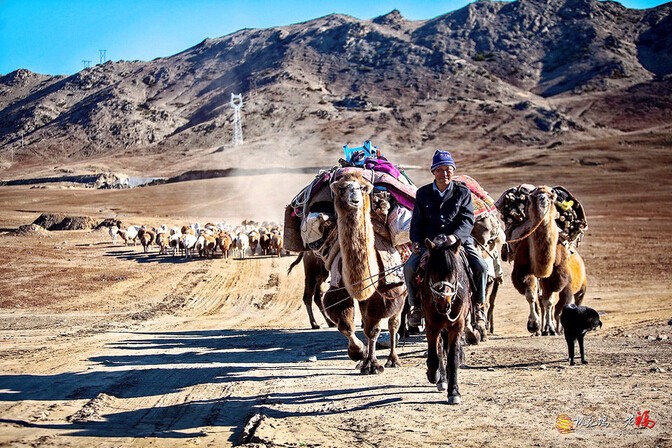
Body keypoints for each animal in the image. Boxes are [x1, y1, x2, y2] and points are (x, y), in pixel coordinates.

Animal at [320, 172, 404, 374]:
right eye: (342, 188)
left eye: (363, 187)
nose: (355, 199)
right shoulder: (339, 288)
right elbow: (346, 325)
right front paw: (359, 354)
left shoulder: (384, 294)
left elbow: (373, 329)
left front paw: (373, 365)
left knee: (393, 324)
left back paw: (393, 360)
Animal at [422, 236, 470, 404]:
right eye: (432, 271)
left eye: (454, 272)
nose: (444, 303)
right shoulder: (431, 326)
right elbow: (434, 357)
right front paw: (434, 375)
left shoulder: (457, 326)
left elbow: (453, 358)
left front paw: (454, 391)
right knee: (440, 351)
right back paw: (441, 379)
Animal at [510, 186, 588, 336]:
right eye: (534, 196)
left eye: (551, 196)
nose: (543, 199)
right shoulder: (523, 270)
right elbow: (531, 296)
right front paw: (533, 325)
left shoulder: (556, 274)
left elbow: (549, 302)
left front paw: (550, 328)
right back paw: (541, 330)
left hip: (579, 287)